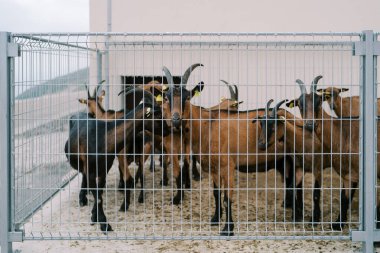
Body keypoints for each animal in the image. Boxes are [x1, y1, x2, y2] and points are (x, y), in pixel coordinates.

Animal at [65, 88, 171, 232]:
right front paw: (103, 223)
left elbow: (99, 193)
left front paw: (96, 217)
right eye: (158, 114)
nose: (169, 130)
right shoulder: (95, 169)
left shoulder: (104, 169)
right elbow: (98, 195)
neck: (103, 136)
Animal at [286, 76, 378, 230]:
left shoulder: (319, 167)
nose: (310, 124)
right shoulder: (300, 166)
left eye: (318, 102)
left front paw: (315, 220)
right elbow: (295, 188)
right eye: (300, 104)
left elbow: (316, 193)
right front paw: (297, 216)